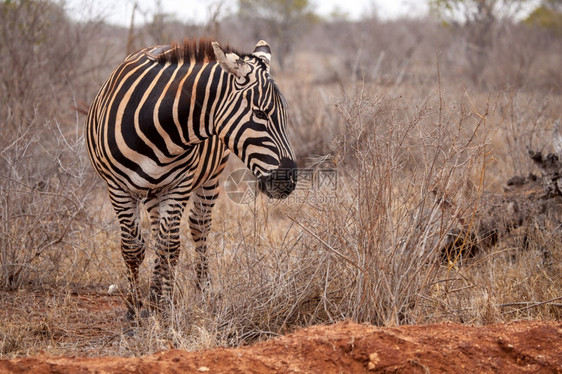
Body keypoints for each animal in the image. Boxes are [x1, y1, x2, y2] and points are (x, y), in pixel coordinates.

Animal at [85, 38, 296, 318]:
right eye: (261, 114)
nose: (289, 181)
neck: (158, 125)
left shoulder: (179, 185)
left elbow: (168, 246)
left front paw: (160, 305)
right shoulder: (118, 187)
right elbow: (132, 248)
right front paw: (133, 310)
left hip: (208, 177)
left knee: (196, 227)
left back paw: (198, 289)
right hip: (153, 189)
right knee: (157, 232)